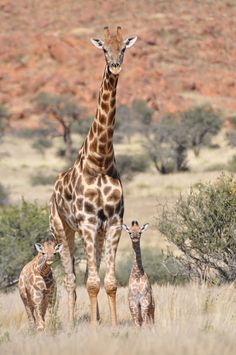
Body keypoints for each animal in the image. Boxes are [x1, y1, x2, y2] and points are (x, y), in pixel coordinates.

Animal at [49, 26, 137, 326]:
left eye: (124, 47)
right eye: (104, 49)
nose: (116, 65)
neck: (100, 161)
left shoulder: (112, 222)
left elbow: (108, 282)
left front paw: (111, 325)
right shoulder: (86, 222)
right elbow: (89, 283)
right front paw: (96, 329)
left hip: (95, 233)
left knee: (90, 271)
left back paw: (95, 318)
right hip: (62, 230)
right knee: (70, 278)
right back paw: (72, 322)